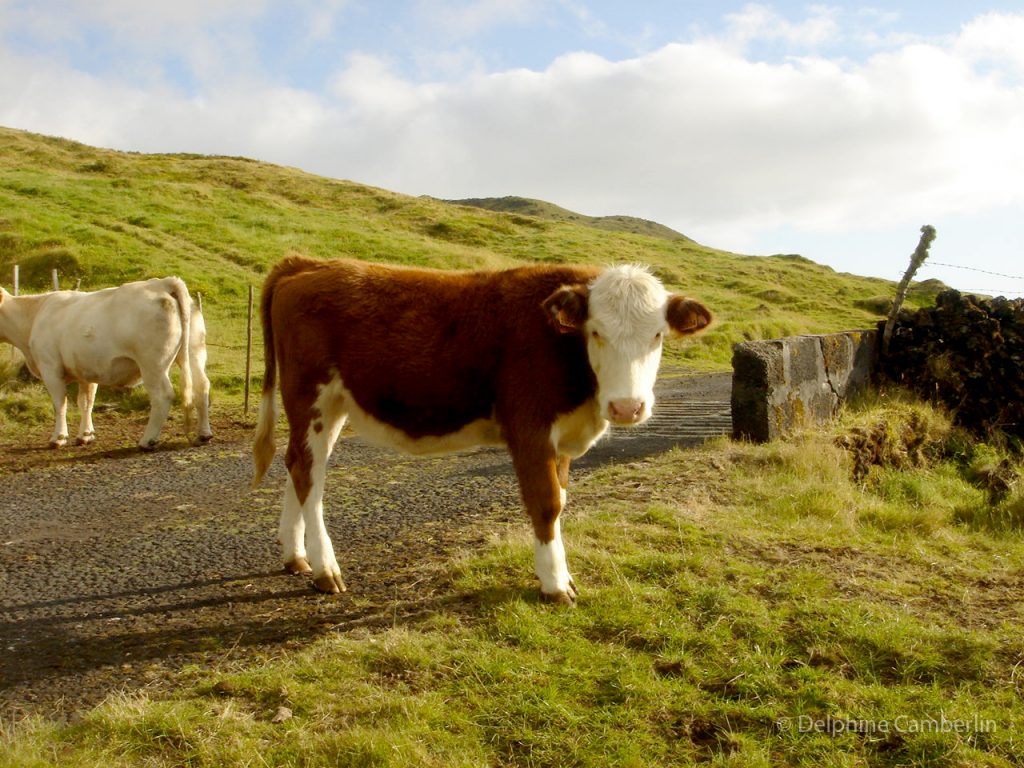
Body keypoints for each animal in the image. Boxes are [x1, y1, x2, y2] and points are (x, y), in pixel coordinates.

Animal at [0, 278, 212, 450]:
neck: (34, 315)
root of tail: (163, 283)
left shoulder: (50, 367)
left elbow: (60, 403)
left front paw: (58, 438)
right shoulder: (86, 370)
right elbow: (86, 402)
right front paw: (85, 435)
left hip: (153, 364)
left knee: (163, 395)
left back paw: (148, 440)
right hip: (194, 351)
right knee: (202, 386)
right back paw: (203, 435)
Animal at [251, 256, 712, 606]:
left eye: (657, 336)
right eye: (595, 331)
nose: (627, 407)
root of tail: (309, 263)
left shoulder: (562, 438)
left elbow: (561, 499)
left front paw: (561, 575)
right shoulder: (529, 428)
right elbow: (547, 504)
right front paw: (554, 584)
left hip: (331, 407)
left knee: (300, 466)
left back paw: (296, 556)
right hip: (309, 395)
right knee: (309, 474)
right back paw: (326, 568)